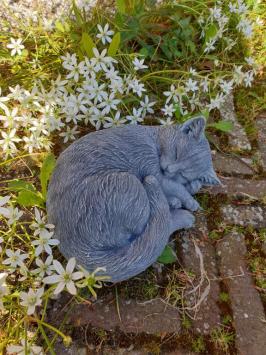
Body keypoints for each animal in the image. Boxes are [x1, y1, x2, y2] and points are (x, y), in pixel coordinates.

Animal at [47, 117, 220, 284]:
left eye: (184, 173)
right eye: (177, 153)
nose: (169, 169)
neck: (153, 139)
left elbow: (181, 186)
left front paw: (191, 187)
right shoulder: (155, 172)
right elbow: (176, 187)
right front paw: (189, 200)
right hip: (131, 182)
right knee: (157, 228)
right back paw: (183, 215)